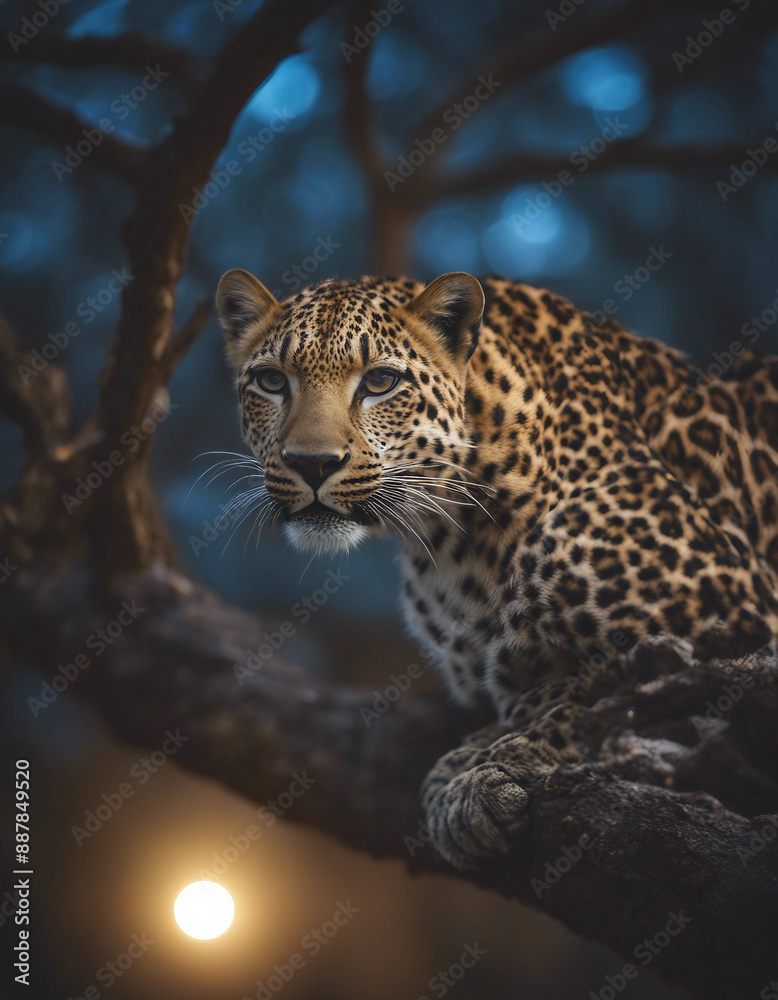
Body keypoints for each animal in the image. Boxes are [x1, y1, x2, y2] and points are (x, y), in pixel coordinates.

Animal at [216, 267, 778, 870]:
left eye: (381, 381)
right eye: (272, 382)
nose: (312, 463)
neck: (454, 532)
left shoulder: (740, 618)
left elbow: (595, 700)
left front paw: (481, 770)